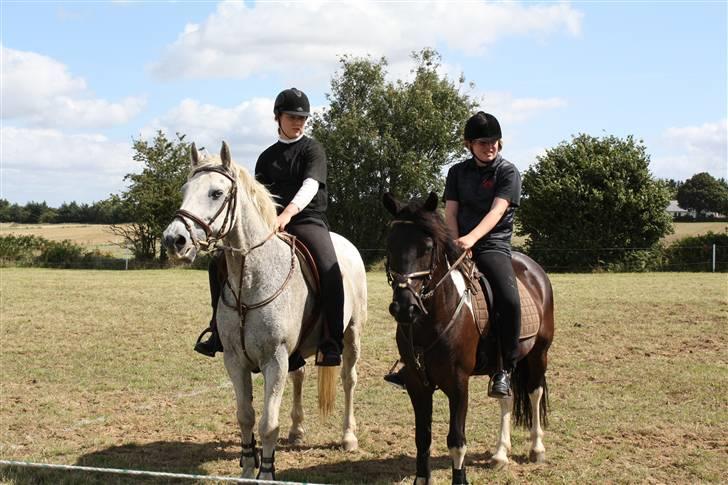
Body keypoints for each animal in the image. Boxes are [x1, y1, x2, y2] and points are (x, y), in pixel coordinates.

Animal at [163, 141, 366, 480]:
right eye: (185, 190)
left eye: (216, 193)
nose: (174, 240)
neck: (251, 276)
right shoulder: (235, 360)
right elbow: (245, 416)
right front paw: (248, 467)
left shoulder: (274, 359)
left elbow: (268, 423)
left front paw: (267, 473)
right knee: (299, 377)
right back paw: (297, 431)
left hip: (351, 334)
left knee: (349, 379)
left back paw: (348, 437)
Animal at [384, 191, 556, 482]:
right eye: (390, 246)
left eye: (427, 247)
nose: (405, 307)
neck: (432, 320)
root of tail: (533, 269)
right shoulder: (417, 385)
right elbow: (422, 438)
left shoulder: (458, 384)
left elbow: (456, 441)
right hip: (502, 364)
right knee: (506, 396)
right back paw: (500, 454)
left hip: (538, 353)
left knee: (534, 393)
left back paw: (537, 449)